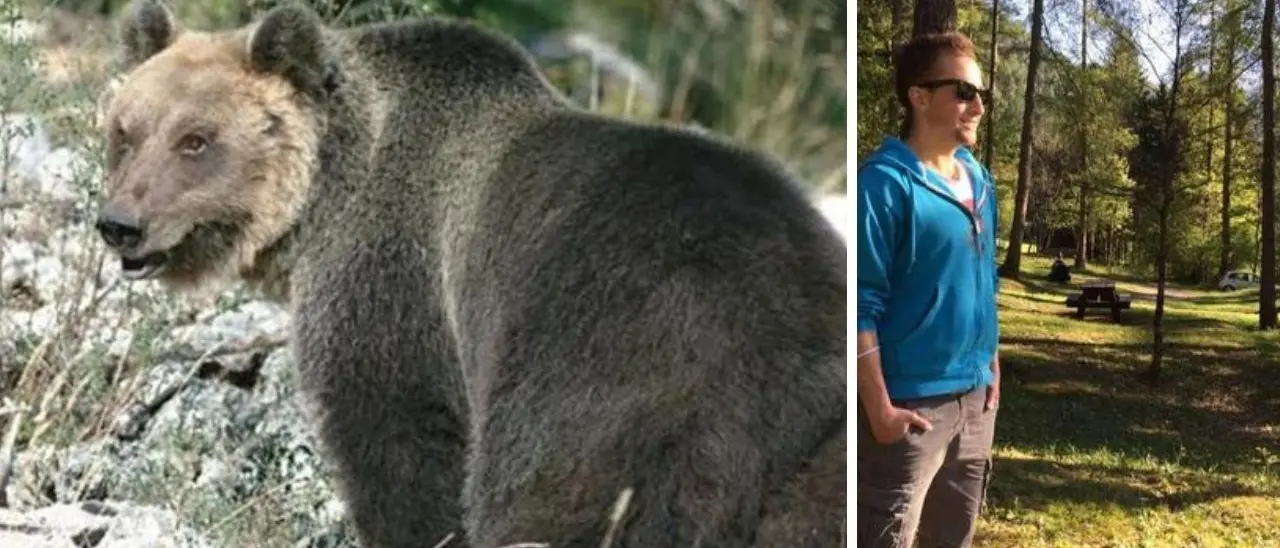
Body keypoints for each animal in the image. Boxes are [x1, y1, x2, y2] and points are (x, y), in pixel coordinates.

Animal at [93, 1, 848, 546]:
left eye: (196, 140)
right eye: (125, 131)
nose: (120, 224)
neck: (326, 194)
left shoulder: (392, 282)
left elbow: (397, 444)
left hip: (613, 372)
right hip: (818, 454)